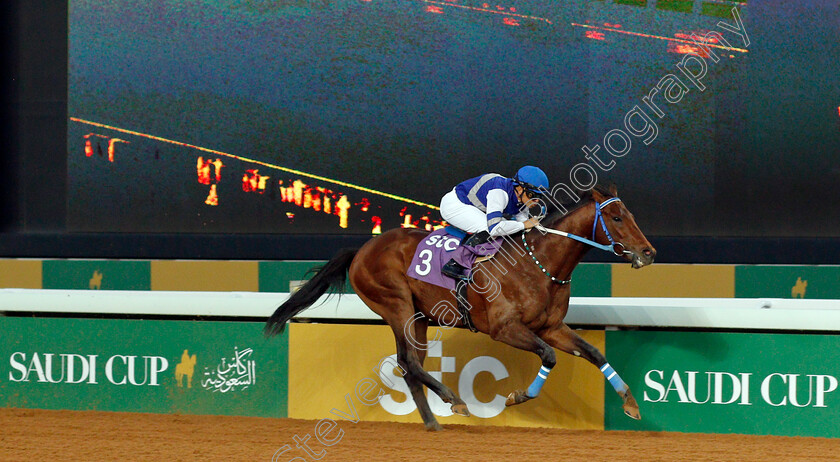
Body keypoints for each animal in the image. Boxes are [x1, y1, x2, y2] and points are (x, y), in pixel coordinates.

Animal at [268, 184, 656, 430]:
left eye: (631, 215)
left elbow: (594, 352)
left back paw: (432, 422)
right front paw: (517, 396)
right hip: (396, 305)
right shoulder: (504, 328)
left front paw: (630, 402)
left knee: (410, 365)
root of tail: (362, 250)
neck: (539, 263)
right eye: (617, 219)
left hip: (419, 317)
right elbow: (548, 356)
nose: (649, 252)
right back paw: (454, 401)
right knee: (409, 361)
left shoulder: (551, 327)